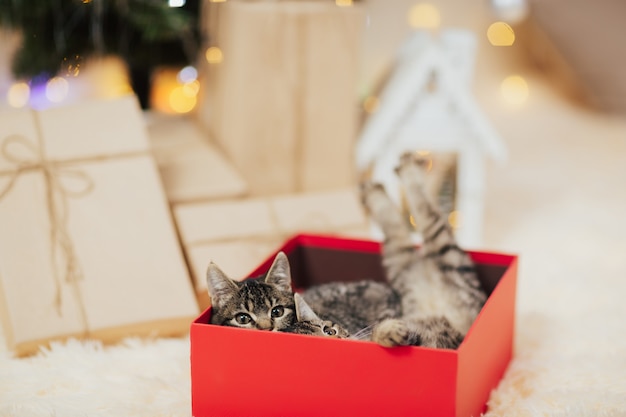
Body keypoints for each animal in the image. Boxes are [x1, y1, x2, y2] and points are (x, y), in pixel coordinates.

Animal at [358, 152, 486, 348]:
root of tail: (425, 266)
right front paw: (386, 331)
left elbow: (380, 333)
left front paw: (388, 332)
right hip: (402, 261)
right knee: (399, 230)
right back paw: (377, 190)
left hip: (444, 250)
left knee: (422, 210)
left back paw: (404, 172)